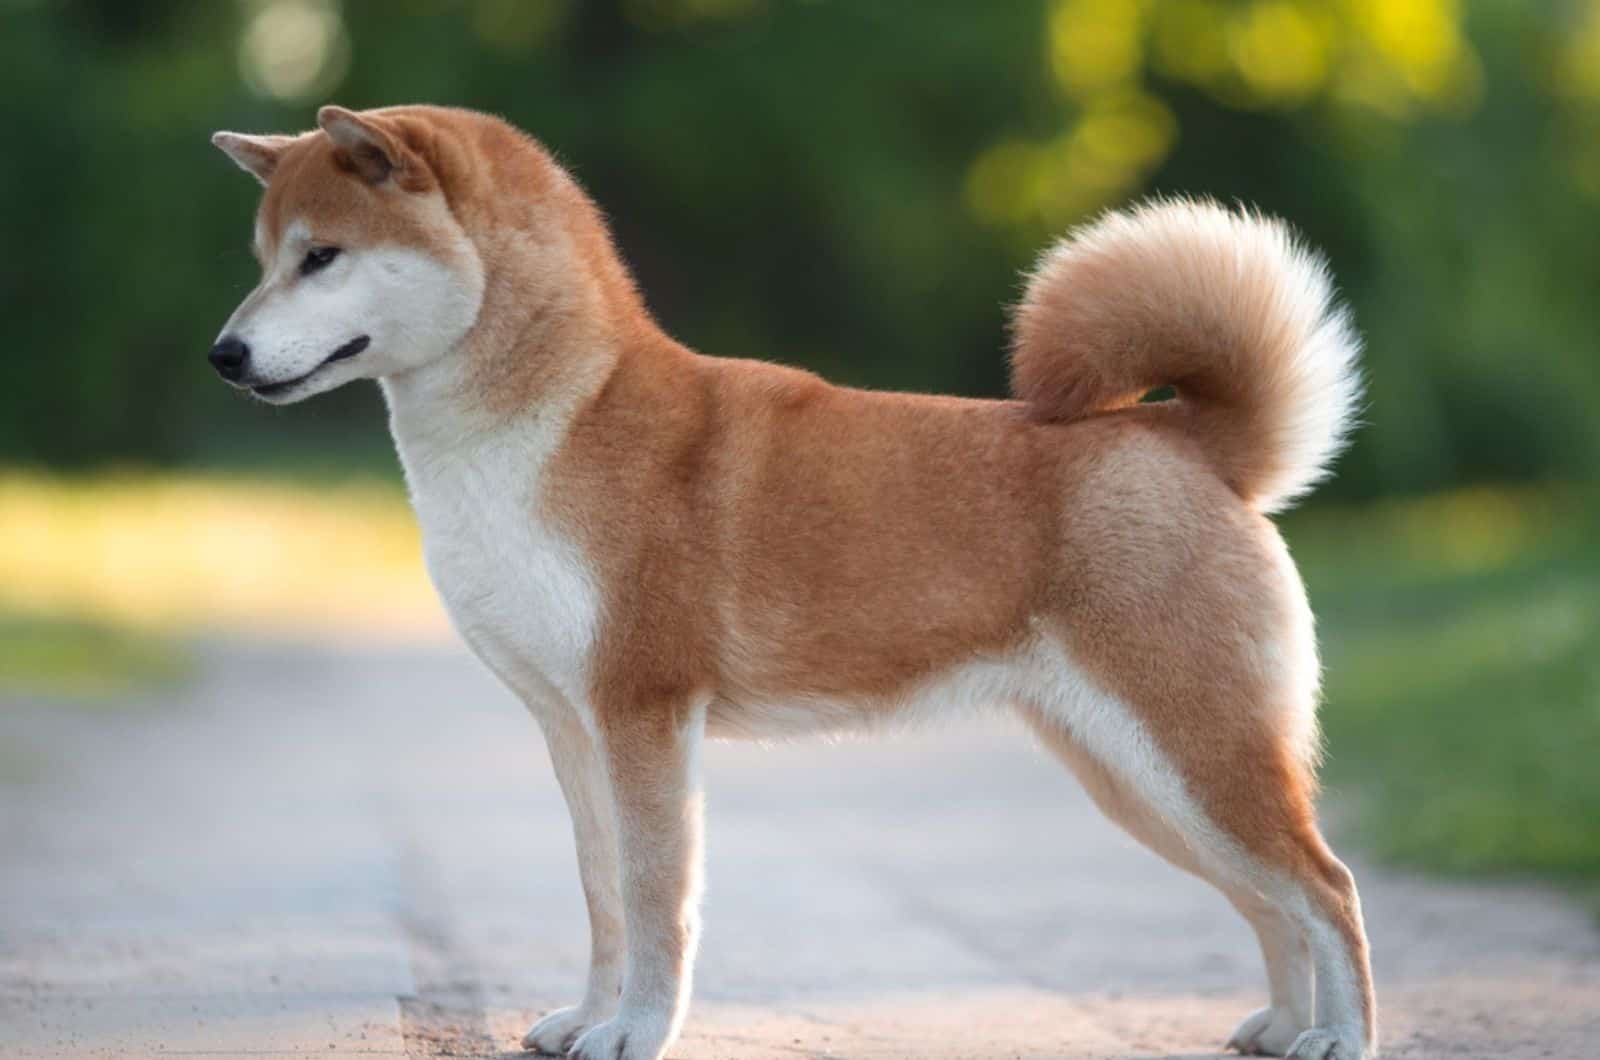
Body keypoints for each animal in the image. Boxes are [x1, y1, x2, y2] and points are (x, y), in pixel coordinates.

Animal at [209, 101, 1376, 1060]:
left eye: (322, 257)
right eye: (265, 258)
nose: (224, 354)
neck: (546, 427)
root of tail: (1190, 440)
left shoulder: (643, 713)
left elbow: (655, 899)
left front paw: (634, 1033)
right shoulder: (570, 726)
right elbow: (601, 895)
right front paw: (586, 1018)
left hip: (1191, 755)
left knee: (1327, 887)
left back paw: (1338, 1037)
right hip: (1137, 780)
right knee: (1271, 903)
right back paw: (1283, 1026)